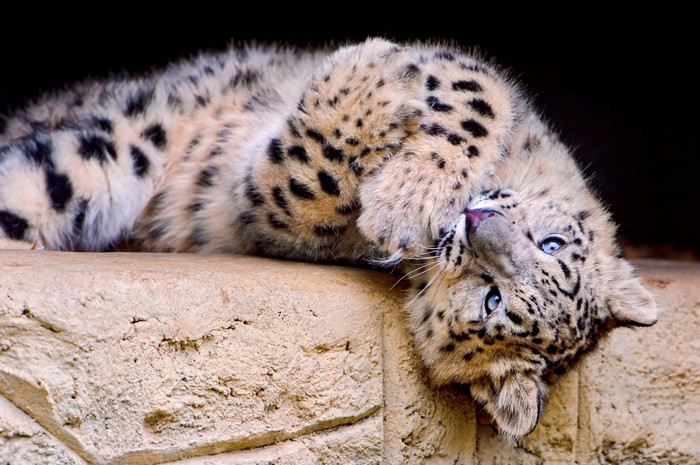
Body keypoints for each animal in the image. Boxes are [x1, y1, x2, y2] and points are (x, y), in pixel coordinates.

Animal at [0, 37, 658, 440]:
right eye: (552, 245)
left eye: (491, 297)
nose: (477, 223)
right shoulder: (478, 80)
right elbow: (471, 95)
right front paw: (403, 159)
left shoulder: (268, 211)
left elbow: (302, 178)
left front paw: (392, 191)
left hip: (94, 162)